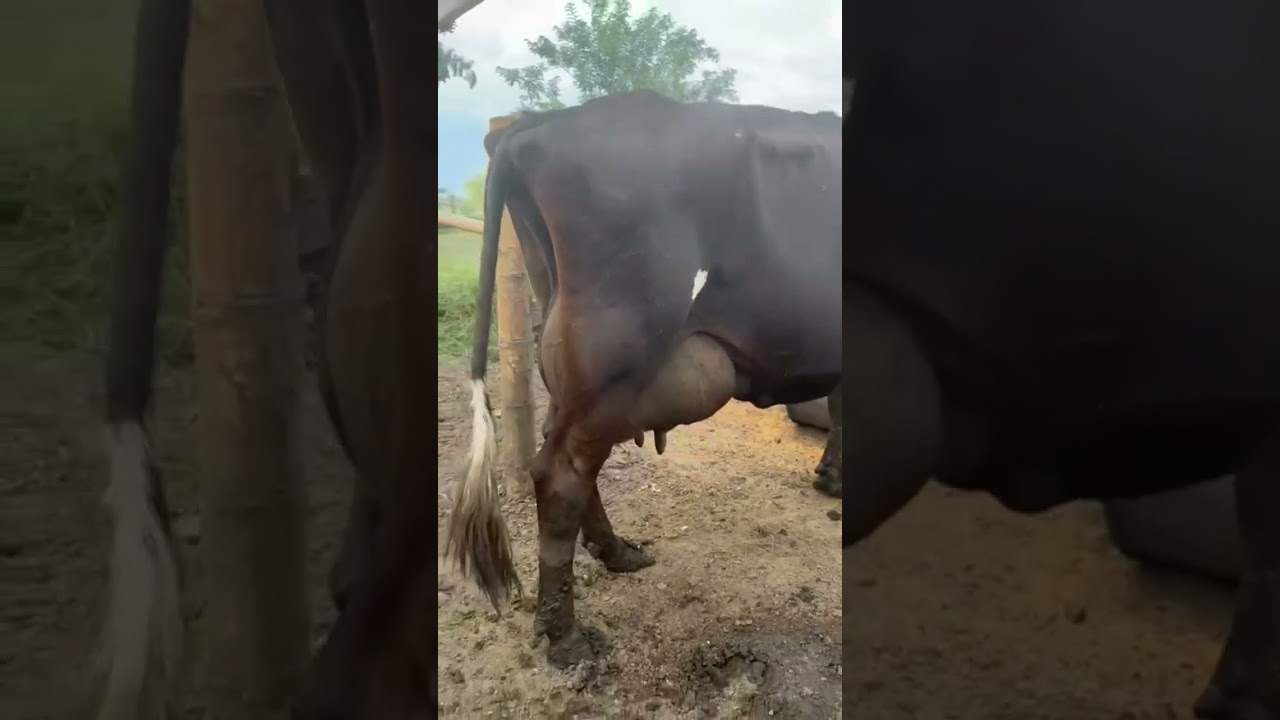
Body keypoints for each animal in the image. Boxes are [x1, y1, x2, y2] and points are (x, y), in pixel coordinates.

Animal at [444, 90, 842, 666]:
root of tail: (539, 124)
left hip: (569, 351)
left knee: (564, 452)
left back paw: (616, 551)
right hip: (616, 349)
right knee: (561, 473)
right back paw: (566, 636)